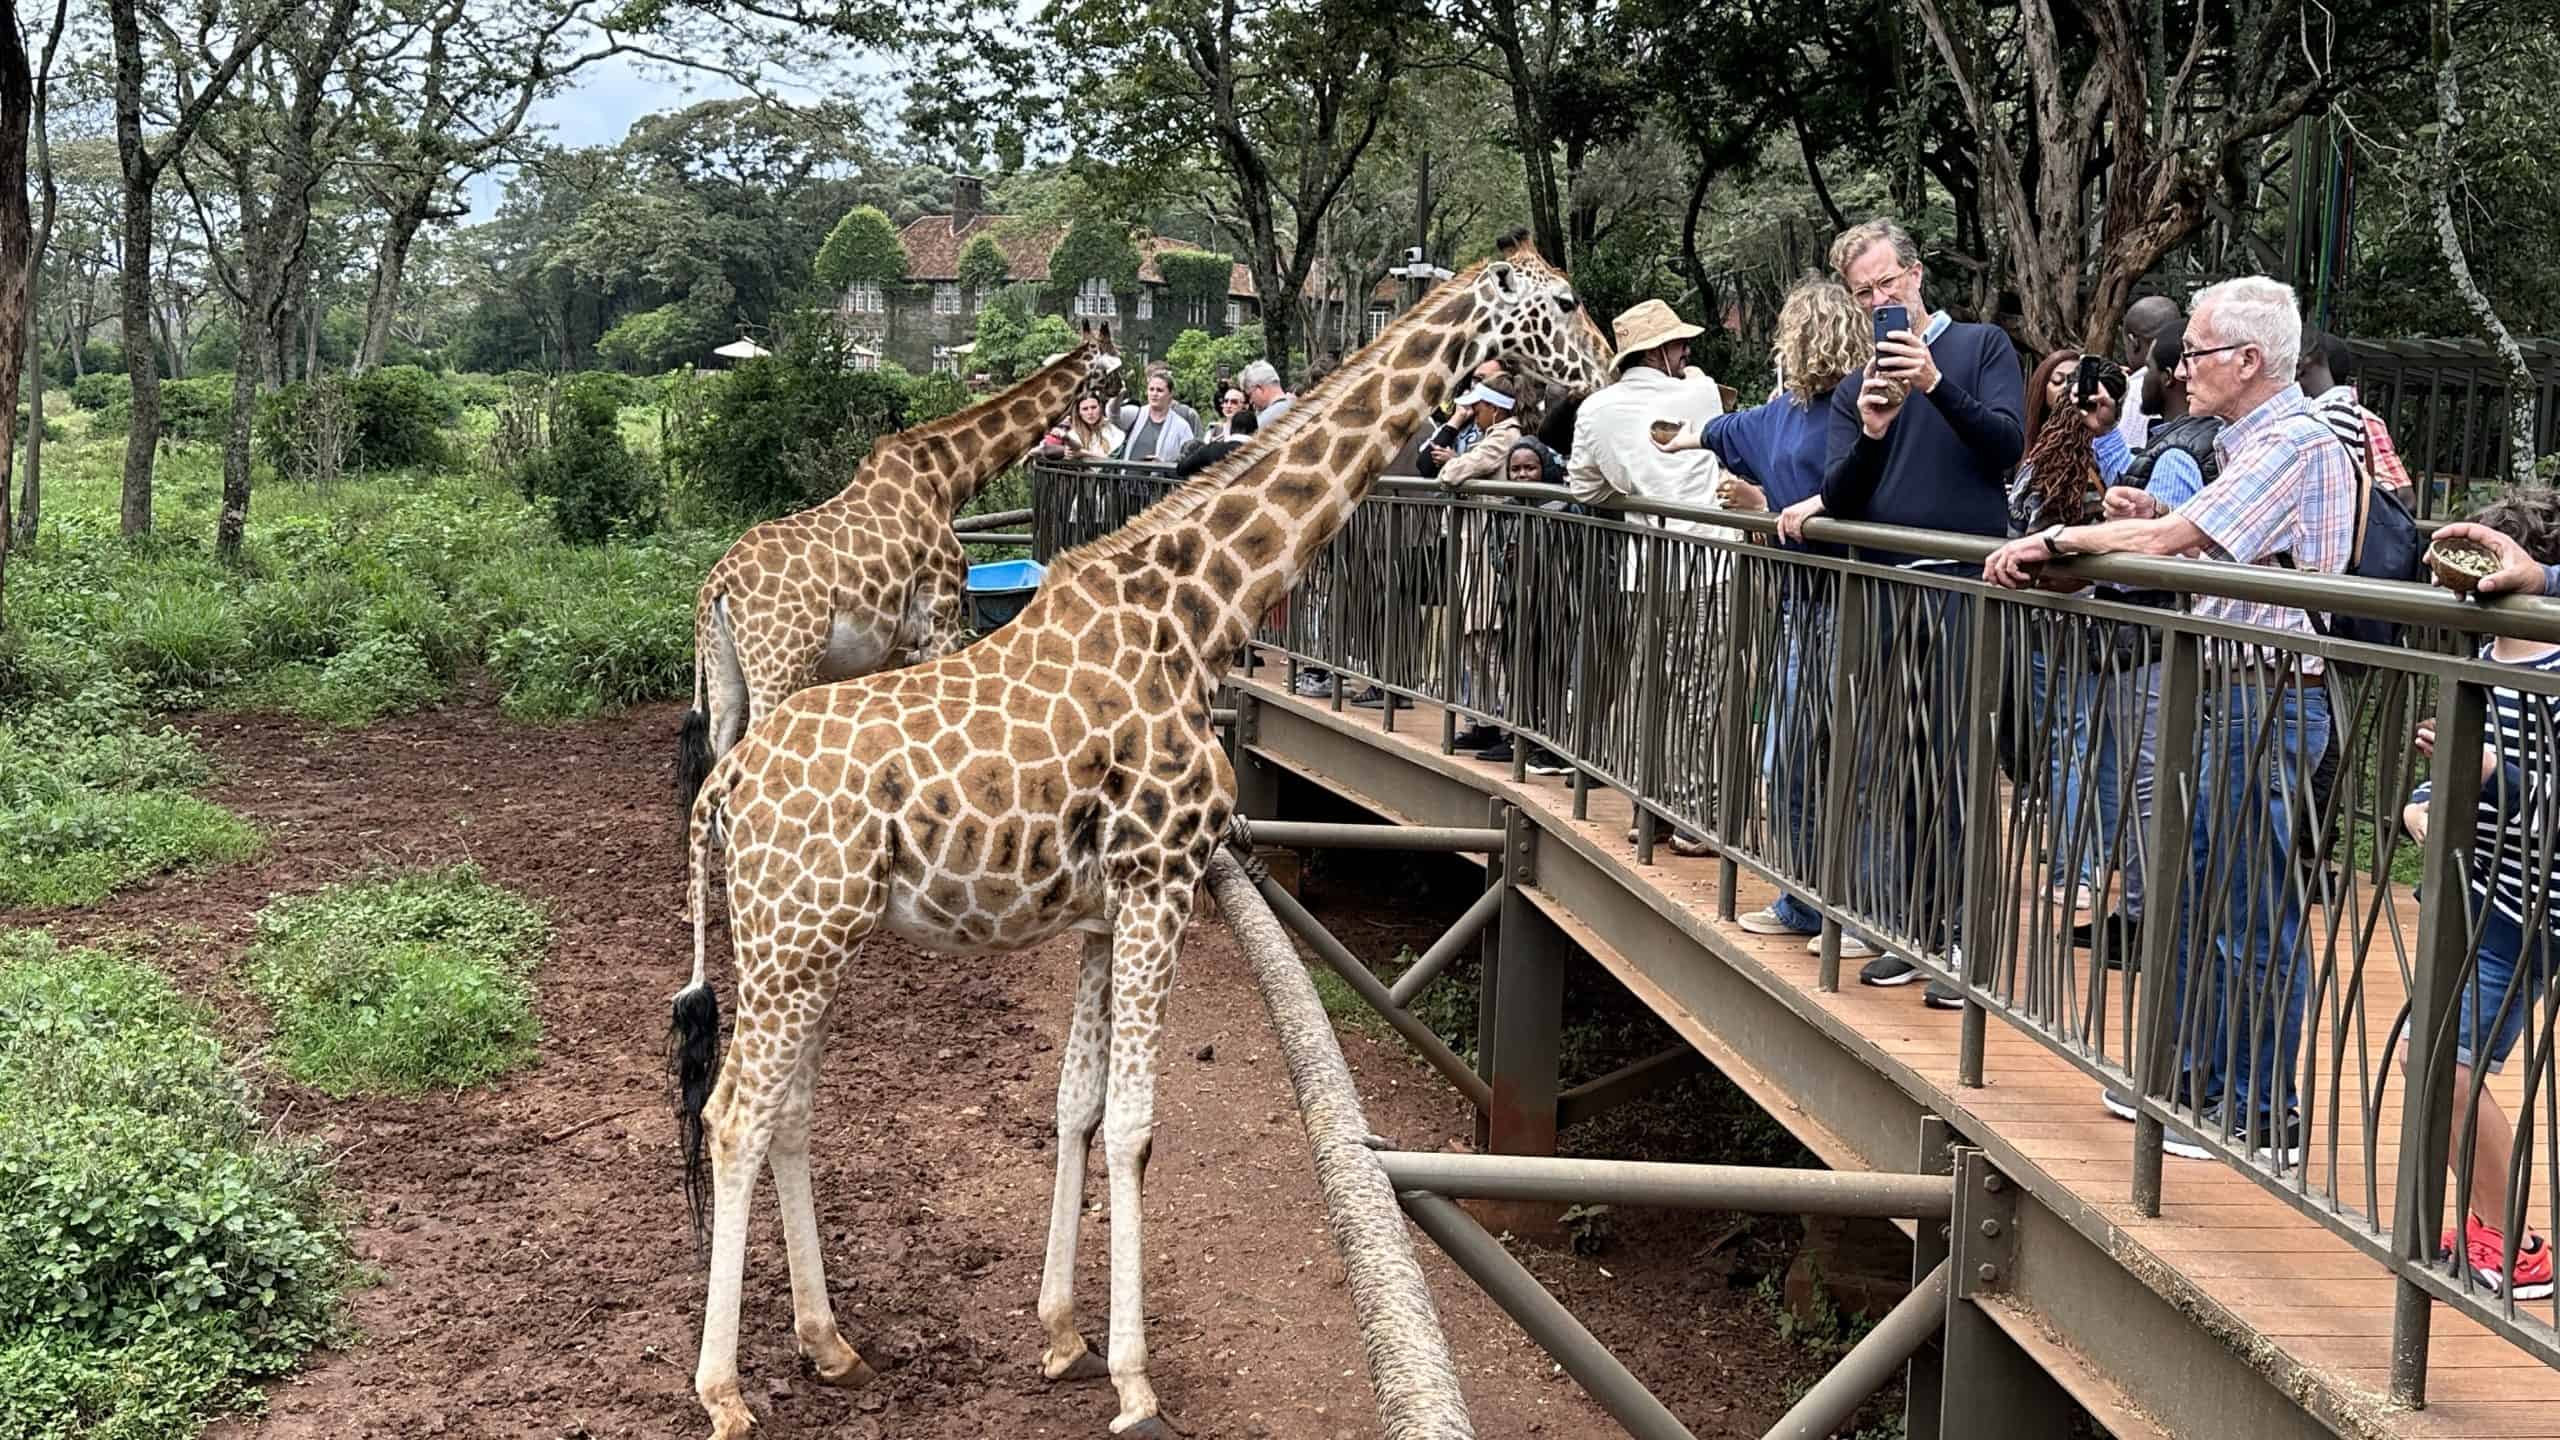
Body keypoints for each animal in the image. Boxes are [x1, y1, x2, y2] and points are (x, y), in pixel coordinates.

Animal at [674, 328, 1126, 823]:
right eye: (1116, 364)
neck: (946, 481)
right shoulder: (942, 618)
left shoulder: (897, 642)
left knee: (718, 749)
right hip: (779, 665)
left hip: (724, 668)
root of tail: (718, 583)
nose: (1124, 396)